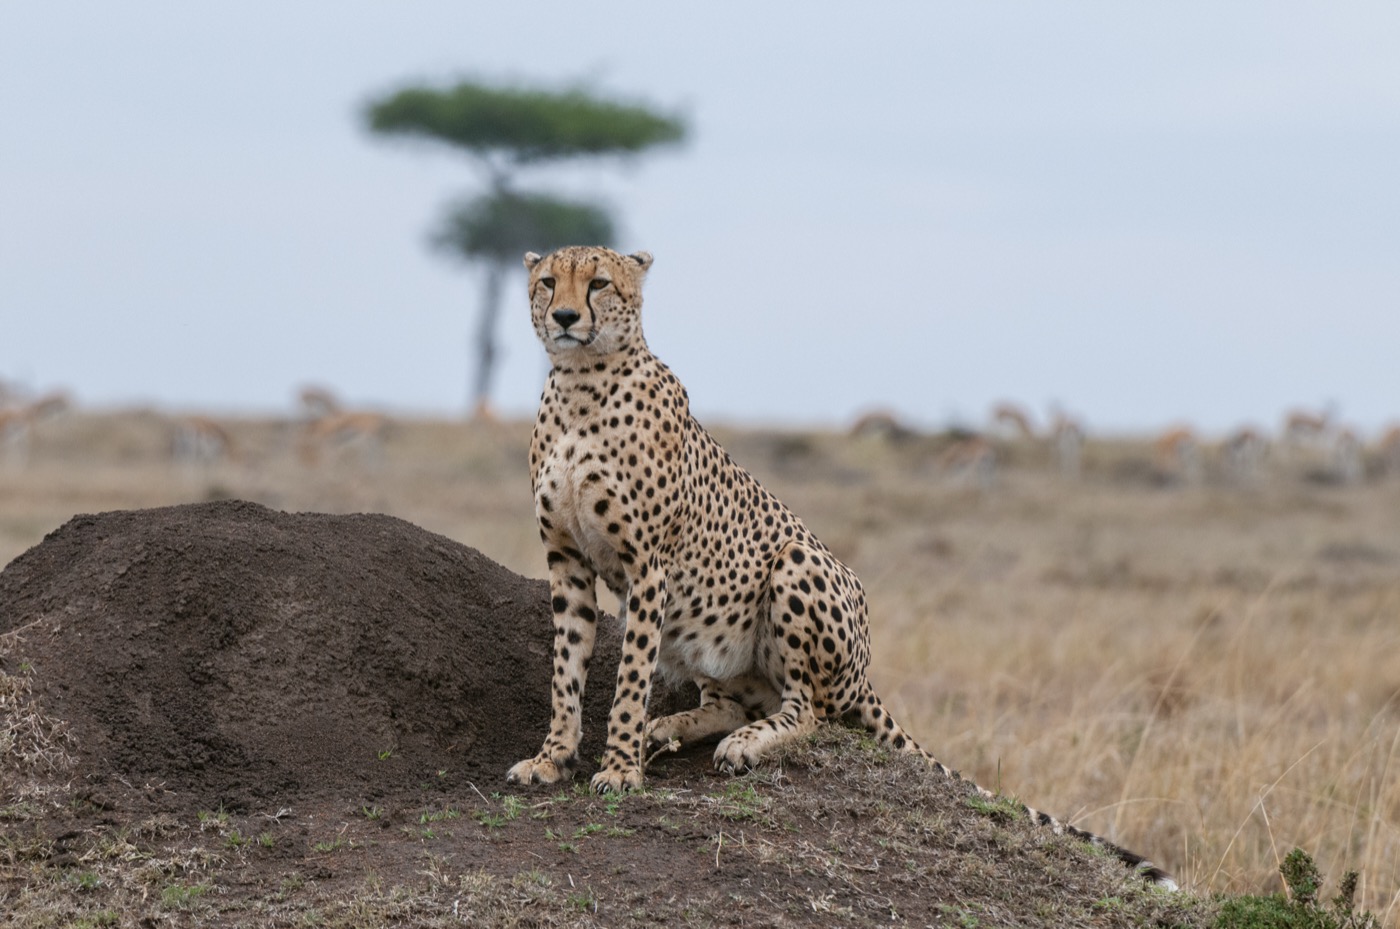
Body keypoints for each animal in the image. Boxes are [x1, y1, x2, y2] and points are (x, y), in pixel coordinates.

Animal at [505, 245, 1174, 887]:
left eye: (599, 283)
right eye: (549, 282)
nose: (565, 317)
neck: (580, 385)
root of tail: (865, 671)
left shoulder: (648, 566)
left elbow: (628, 678)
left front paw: (618, 768)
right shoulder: (566, 560)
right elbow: (567, 669)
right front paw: (553, 758)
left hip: (796, 564)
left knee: (810, 711)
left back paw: (741, 744)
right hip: (705, 631)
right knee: (737, 701)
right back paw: (671, 728)